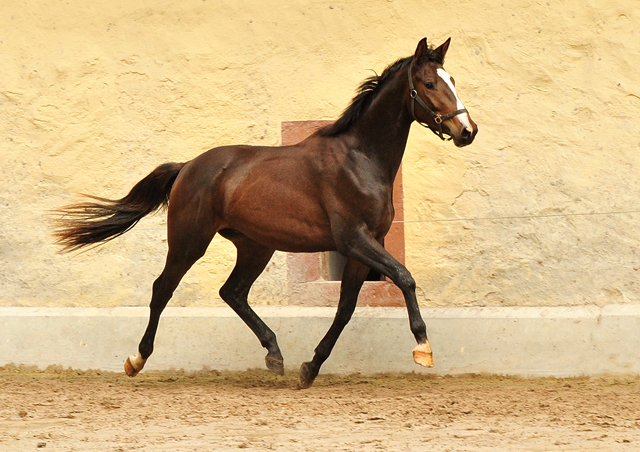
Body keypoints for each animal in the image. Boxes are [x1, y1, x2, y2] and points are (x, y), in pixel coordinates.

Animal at [56, 38, 476, 388]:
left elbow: (345, 310)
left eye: (452, 79)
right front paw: (423, 347)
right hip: (190, 241)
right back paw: (136, 359)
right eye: (429, 84)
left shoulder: (364, 248)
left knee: (233, 292)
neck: (360, 159)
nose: (467, 130)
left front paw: (309, 369)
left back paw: (275, 355)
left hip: (256, 246)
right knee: (163, 289)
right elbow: (404, 278)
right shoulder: (354, 240)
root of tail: (188, 166)